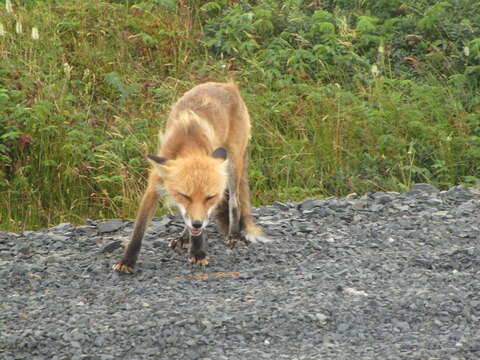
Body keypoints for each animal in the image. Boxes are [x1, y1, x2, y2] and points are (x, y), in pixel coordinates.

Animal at [112, 81, 270, 272]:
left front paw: (198, 253)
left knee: (235, 203)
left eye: (209, 197)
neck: (188, 141)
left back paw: (233, 234)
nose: (197, 224)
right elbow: (138, 230)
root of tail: (228, 85)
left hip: (232, 164)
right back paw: (184, 237)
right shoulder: (153, 188)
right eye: (185, 196)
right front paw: (127, 261)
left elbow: (201, 225)